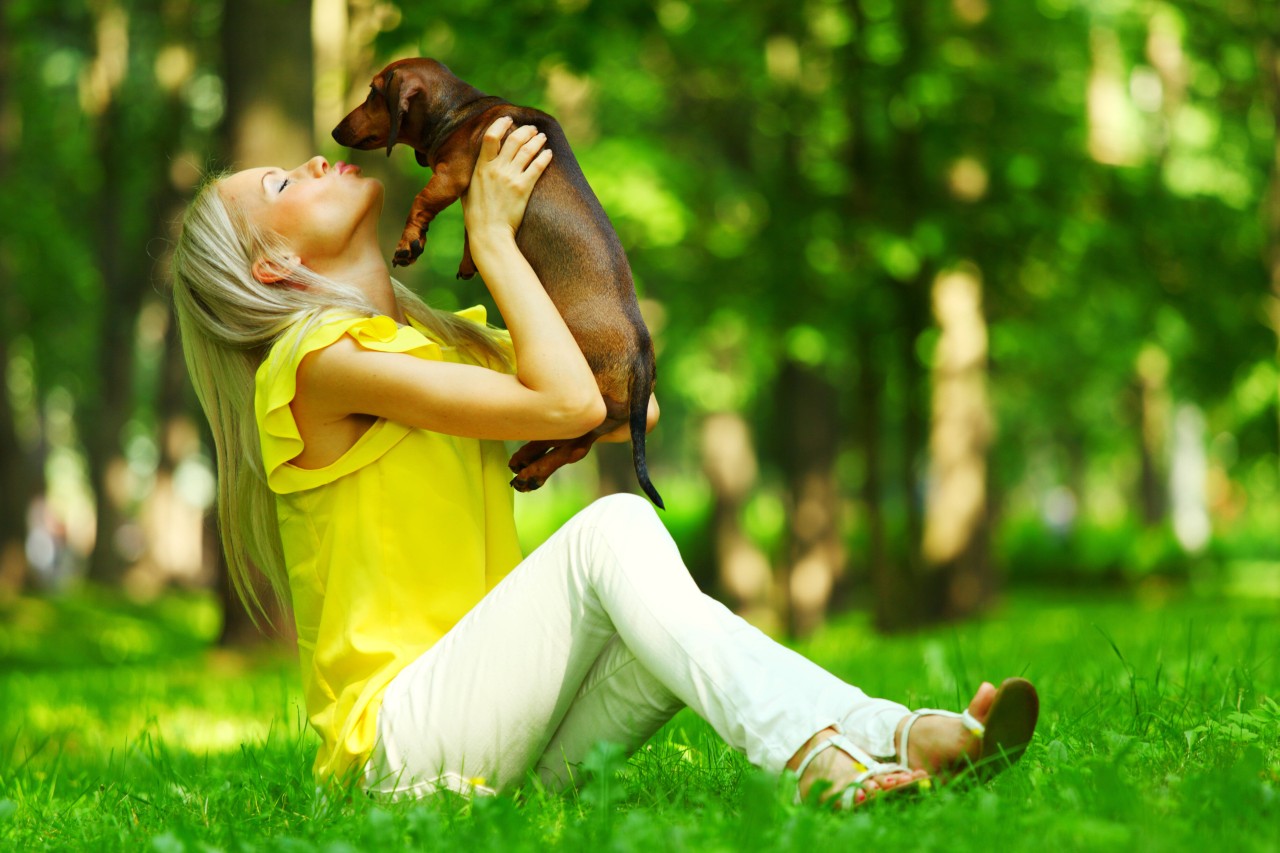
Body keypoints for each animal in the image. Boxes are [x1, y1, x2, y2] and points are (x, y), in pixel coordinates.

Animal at [332, 58, 660, 504]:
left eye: (371, 94)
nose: (335, 131)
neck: (463, 111)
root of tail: (641, 353)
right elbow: (472, 226)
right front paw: (468, 259)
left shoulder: (451, 174)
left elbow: (423, 200)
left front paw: (408, 244)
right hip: (611, 411)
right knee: (577, 444)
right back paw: (530, 462)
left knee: (574, 439)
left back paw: (531, 468)